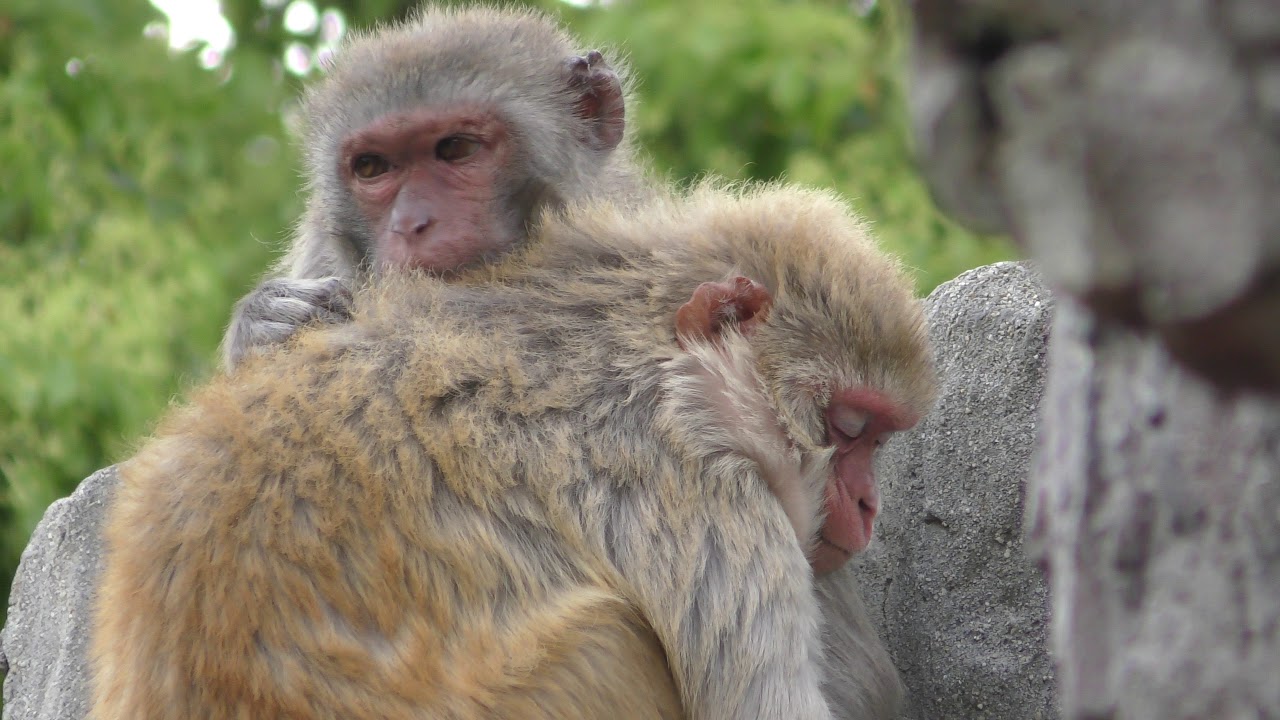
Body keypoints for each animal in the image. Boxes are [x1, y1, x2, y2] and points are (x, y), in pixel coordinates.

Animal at [91, 183, 935, 720]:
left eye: (879, 438)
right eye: (848, 429)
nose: (868, 505)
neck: (651, 356)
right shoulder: (705, 496)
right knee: (606, 636)